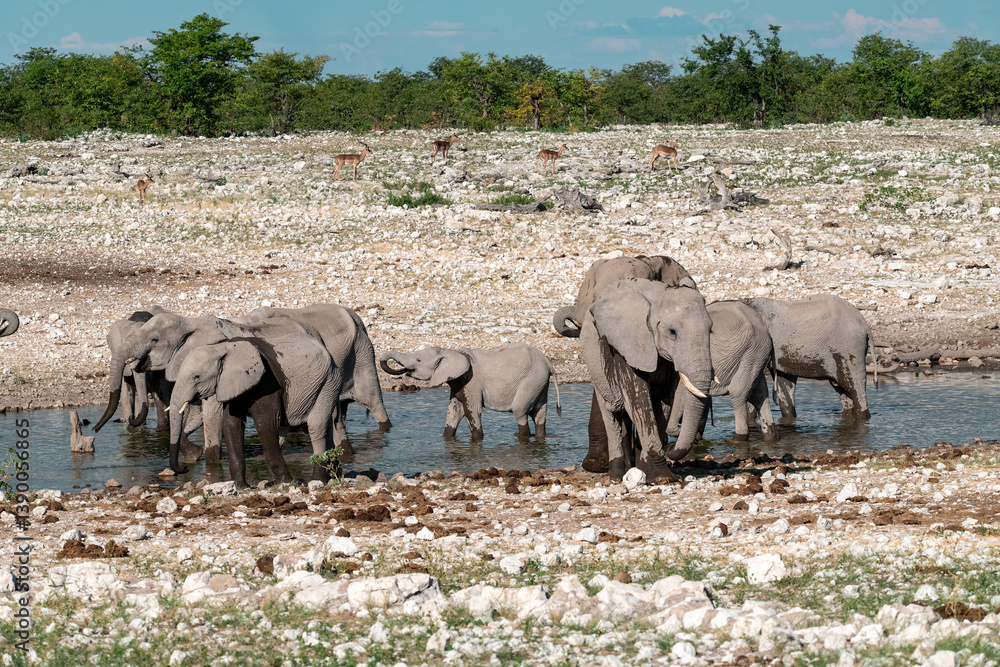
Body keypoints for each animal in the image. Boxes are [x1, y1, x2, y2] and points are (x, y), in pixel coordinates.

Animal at [168, 334, 342, 487]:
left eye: (197, 377)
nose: (184, 468)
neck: (221, 348)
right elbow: (231, 424)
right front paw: (241, 486)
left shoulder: (266, 383)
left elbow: (265, 423)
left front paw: (284, 482)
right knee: (325, 428)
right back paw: (335, 476)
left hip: (328, 383)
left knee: (316, 427)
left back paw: (317, 480)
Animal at [379, 343, 561, 439]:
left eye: (418, 360)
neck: (450, 352)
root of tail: (549, 364)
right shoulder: (458, 383)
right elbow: (453, 412)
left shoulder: (471, 382)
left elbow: (472, 411)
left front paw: (478, 440)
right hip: (539, 383)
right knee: (539, 414)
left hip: (531, 381)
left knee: (520, 412)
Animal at [580, 279, 713, 484]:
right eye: (672, 332)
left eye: (710, 330)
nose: (671, 447)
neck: (657, 295)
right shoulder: (627, 344)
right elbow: (638, 400)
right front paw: (662, 477)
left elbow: (664, 403)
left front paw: (651, 472)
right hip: (594, 365)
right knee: (613, 412)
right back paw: (616, 475)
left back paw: (634, 468)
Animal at [667, 300, 778, 442]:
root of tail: (767, 331)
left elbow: (683, 390)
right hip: (756, 356)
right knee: (760, 394)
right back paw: (771, 437)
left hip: (753, 352)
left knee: (737, 392)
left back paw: (737, 439)